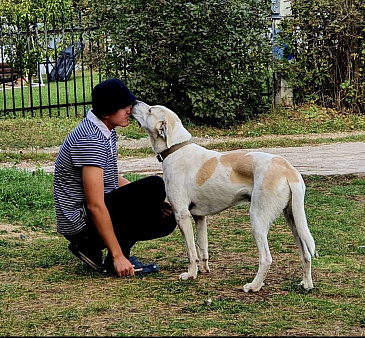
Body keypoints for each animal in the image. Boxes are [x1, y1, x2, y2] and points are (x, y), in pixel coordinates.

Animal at [131, 101, 316, 294]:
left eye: (150, 110)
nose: (134, 102)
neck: (176, 148)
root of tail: (288, 169)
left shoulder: (182, 215)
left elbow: (191, 252)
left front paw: (190, 275)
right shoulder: (199, 217)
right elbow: (202, 248)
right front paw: (203, 270)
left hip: (258, 219)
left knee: (266, 258)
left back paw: (253, 286)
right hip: (293, 219)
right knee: (305, 254)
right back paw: (306, 284)